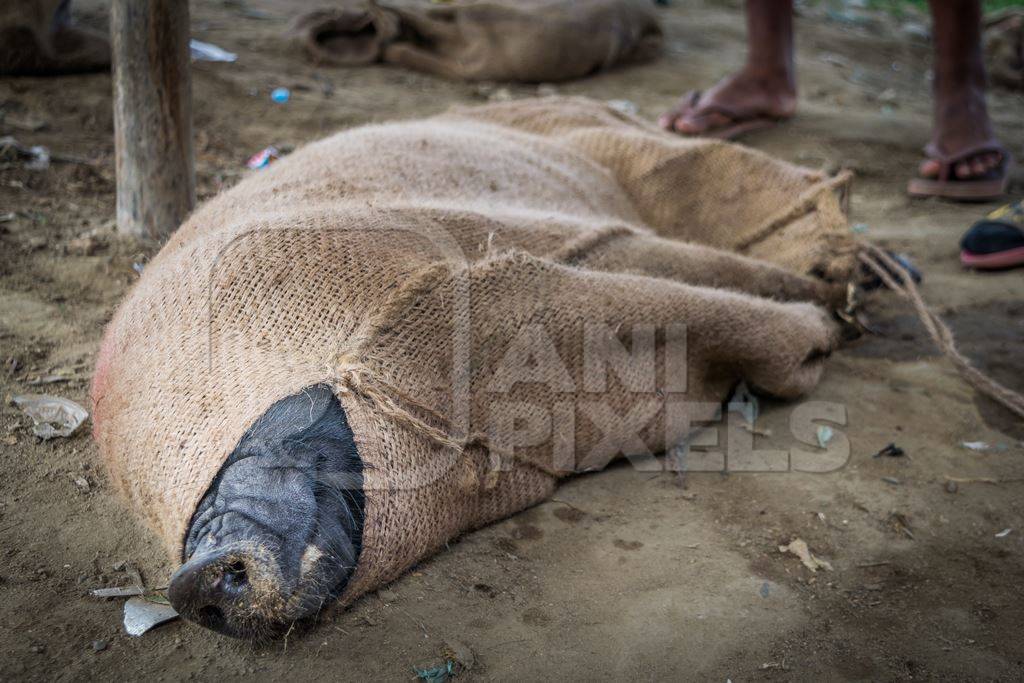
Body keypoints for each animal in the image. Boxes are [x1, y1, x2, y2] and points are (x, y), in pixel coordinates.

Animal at [92, 97, 856, 643]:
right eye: (194, 519)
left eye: (262, 451)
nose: (191, 580)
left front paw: (827, 323)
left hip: (603, 140)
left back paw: (853, 278)